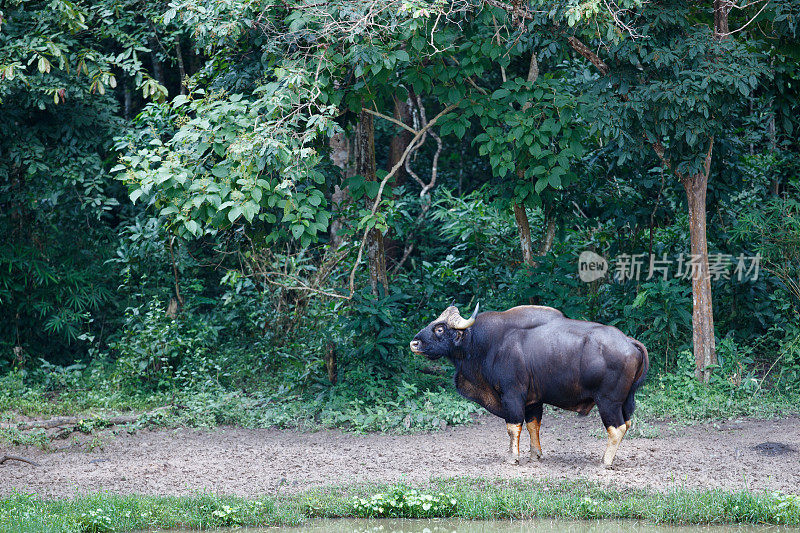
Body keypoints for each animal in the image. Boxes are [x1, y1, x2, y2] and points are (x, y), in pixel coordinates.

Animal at [410, 304, 648, 466]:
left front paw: (512, 457)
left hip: (608, 402)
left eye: (440, 329)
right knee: (626, 424)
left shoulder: (512, 395)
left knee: (616, 428)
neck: (488, 344)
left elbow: (513, 427)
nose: (414, 342)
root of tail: (629, 342)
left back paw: (605, 461)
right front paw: (535, 455)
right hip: (626, 401)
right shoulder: (534, 400)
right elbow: (534, 425)